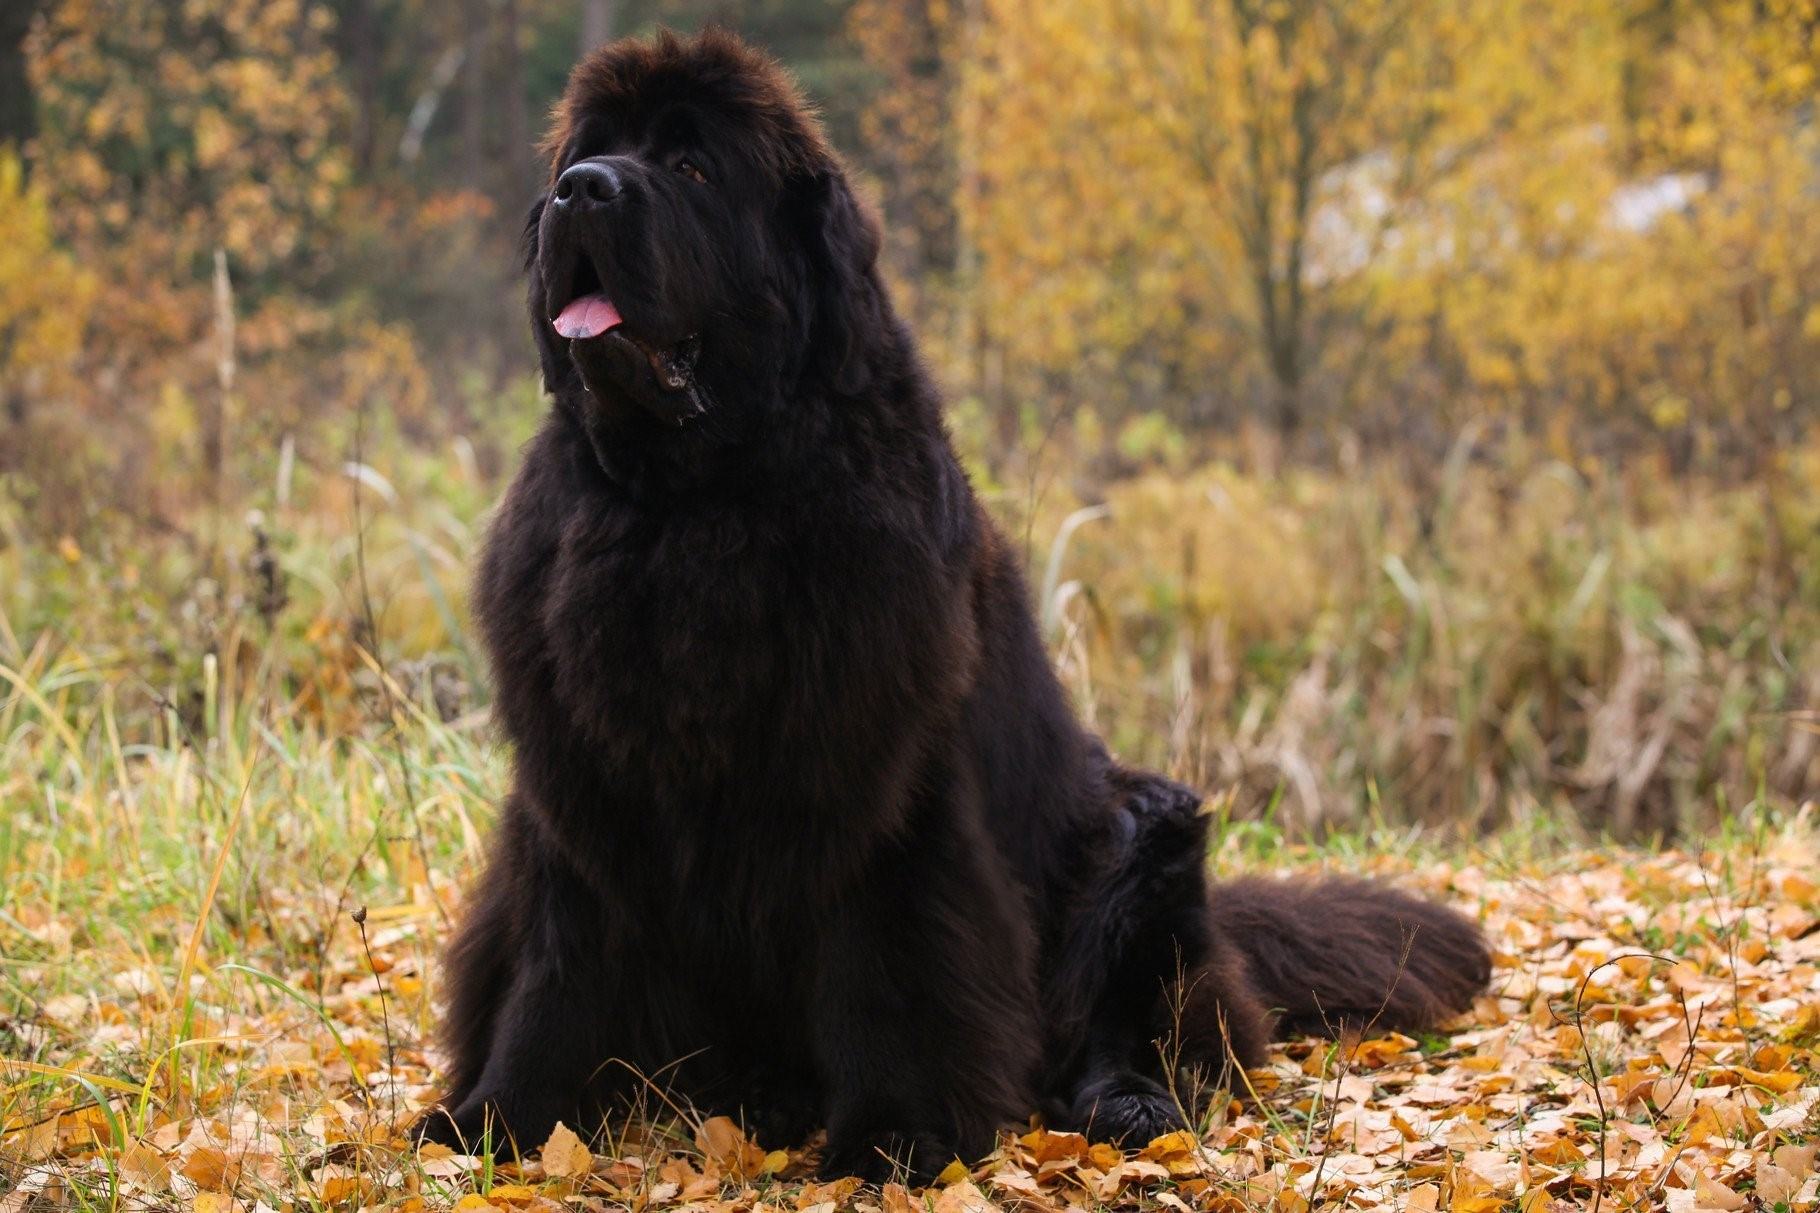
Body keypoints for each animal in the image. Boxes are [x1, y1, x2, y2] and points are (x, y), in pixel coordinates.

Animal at [418, 30, 1485, 1180]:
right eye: (588, 150)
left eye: (693, 167)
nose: (580, 189)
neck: (690, 505)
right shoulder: (580, 791)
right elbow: (554, 970)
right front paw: (491, 1120)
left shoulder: (883, 786)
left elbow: (892, 960)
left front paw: (894, 1135)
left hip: (1136, 836)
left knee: (1142, 1020)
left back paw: (1124, 1103)